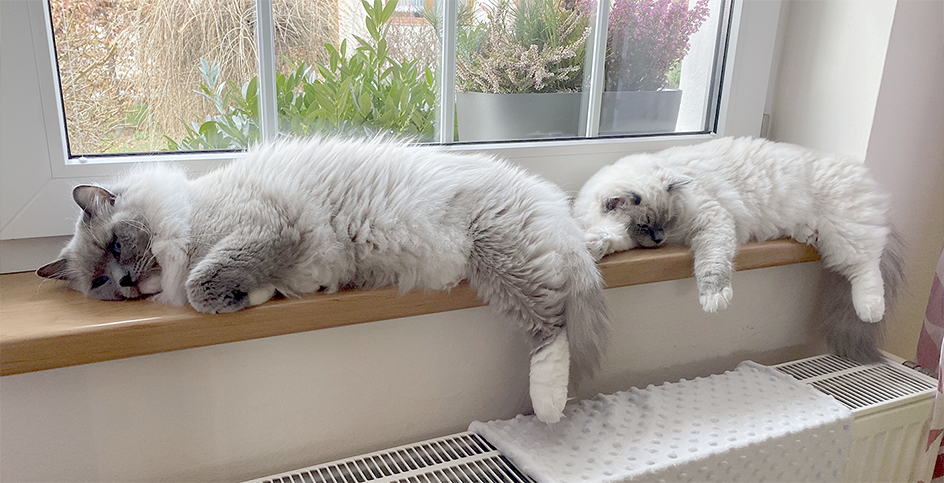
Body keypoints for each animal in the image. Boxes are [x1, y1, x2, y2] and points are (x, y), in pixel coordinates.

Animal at [37, 136, 608, 424]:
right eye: (99, 283)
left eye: (116, 247)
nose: (124, 283)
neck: (188, 219)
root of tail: (542, 193)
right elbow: (255, 285)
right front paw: (251, 295)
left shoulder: (264, 229)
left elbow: (202, 285)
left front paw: (229, 296)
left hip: (501, 259)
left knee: (552, 330)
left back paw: (549, 407)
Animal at [572, 136, 904, 364]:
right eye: (645, 226)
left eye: (667, 221)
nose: (659, 240)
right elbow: (608, 236)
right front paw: (595, 245)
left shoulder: (711, 221)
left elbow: (712, 264)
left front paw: (715, 298)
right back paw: (807, 233)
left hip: (845, 235)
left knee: (866, 268)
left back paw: (870, 309)